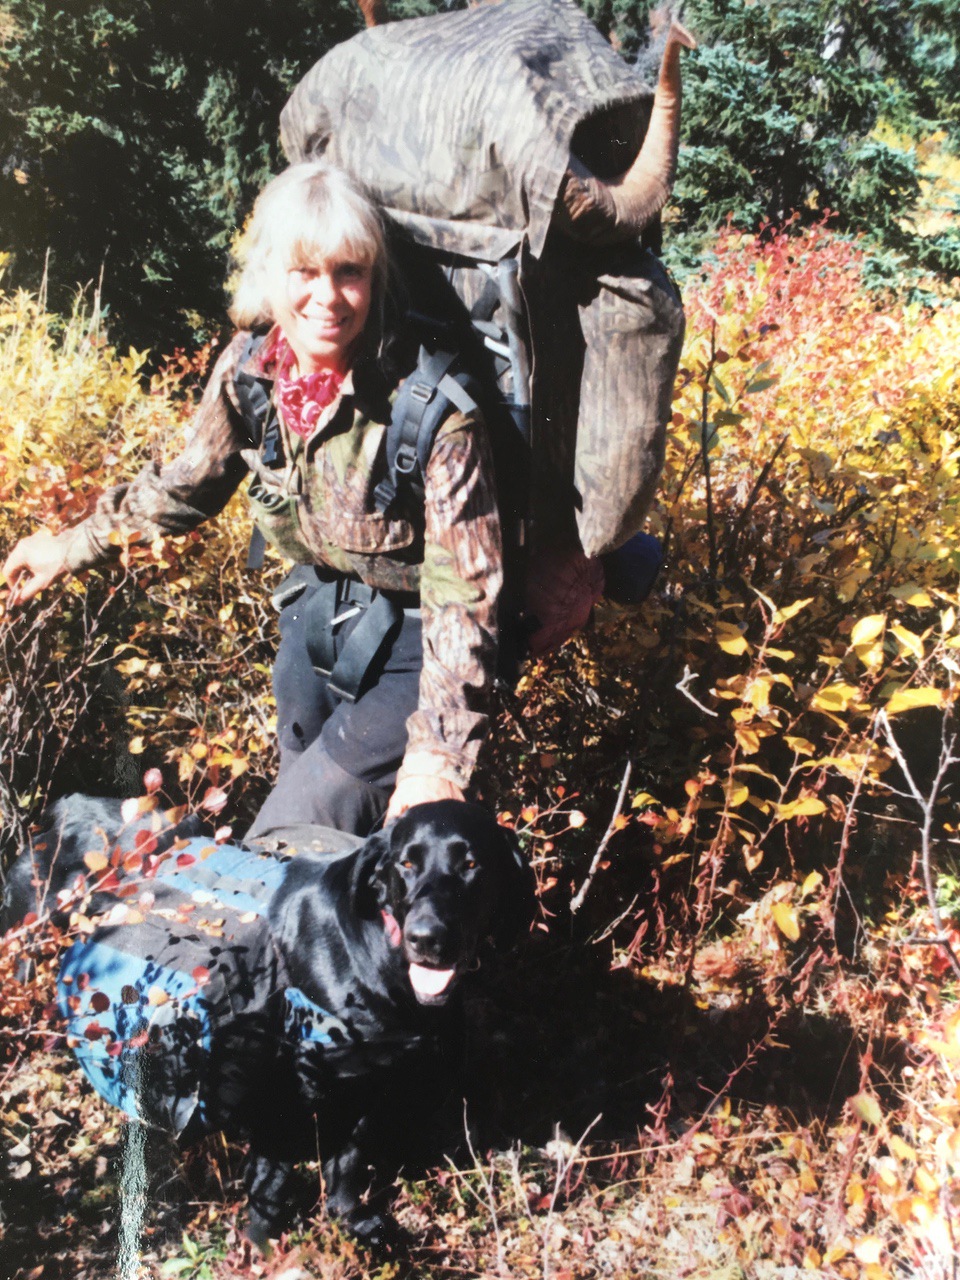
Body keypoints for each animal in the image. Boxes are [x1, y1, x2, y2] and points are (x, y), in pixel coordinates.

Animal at [3, 793, 537, 1244]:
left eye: (472, 865)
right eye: (407, 863)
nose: (427, 938)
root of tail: (68, 805)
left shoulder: (371, 1080)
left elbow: (349, 1159)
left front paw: (351, 1220)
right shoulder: (279, 1088)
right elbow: (272, 1182)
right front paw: (262, 1248)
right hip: (26, 941)